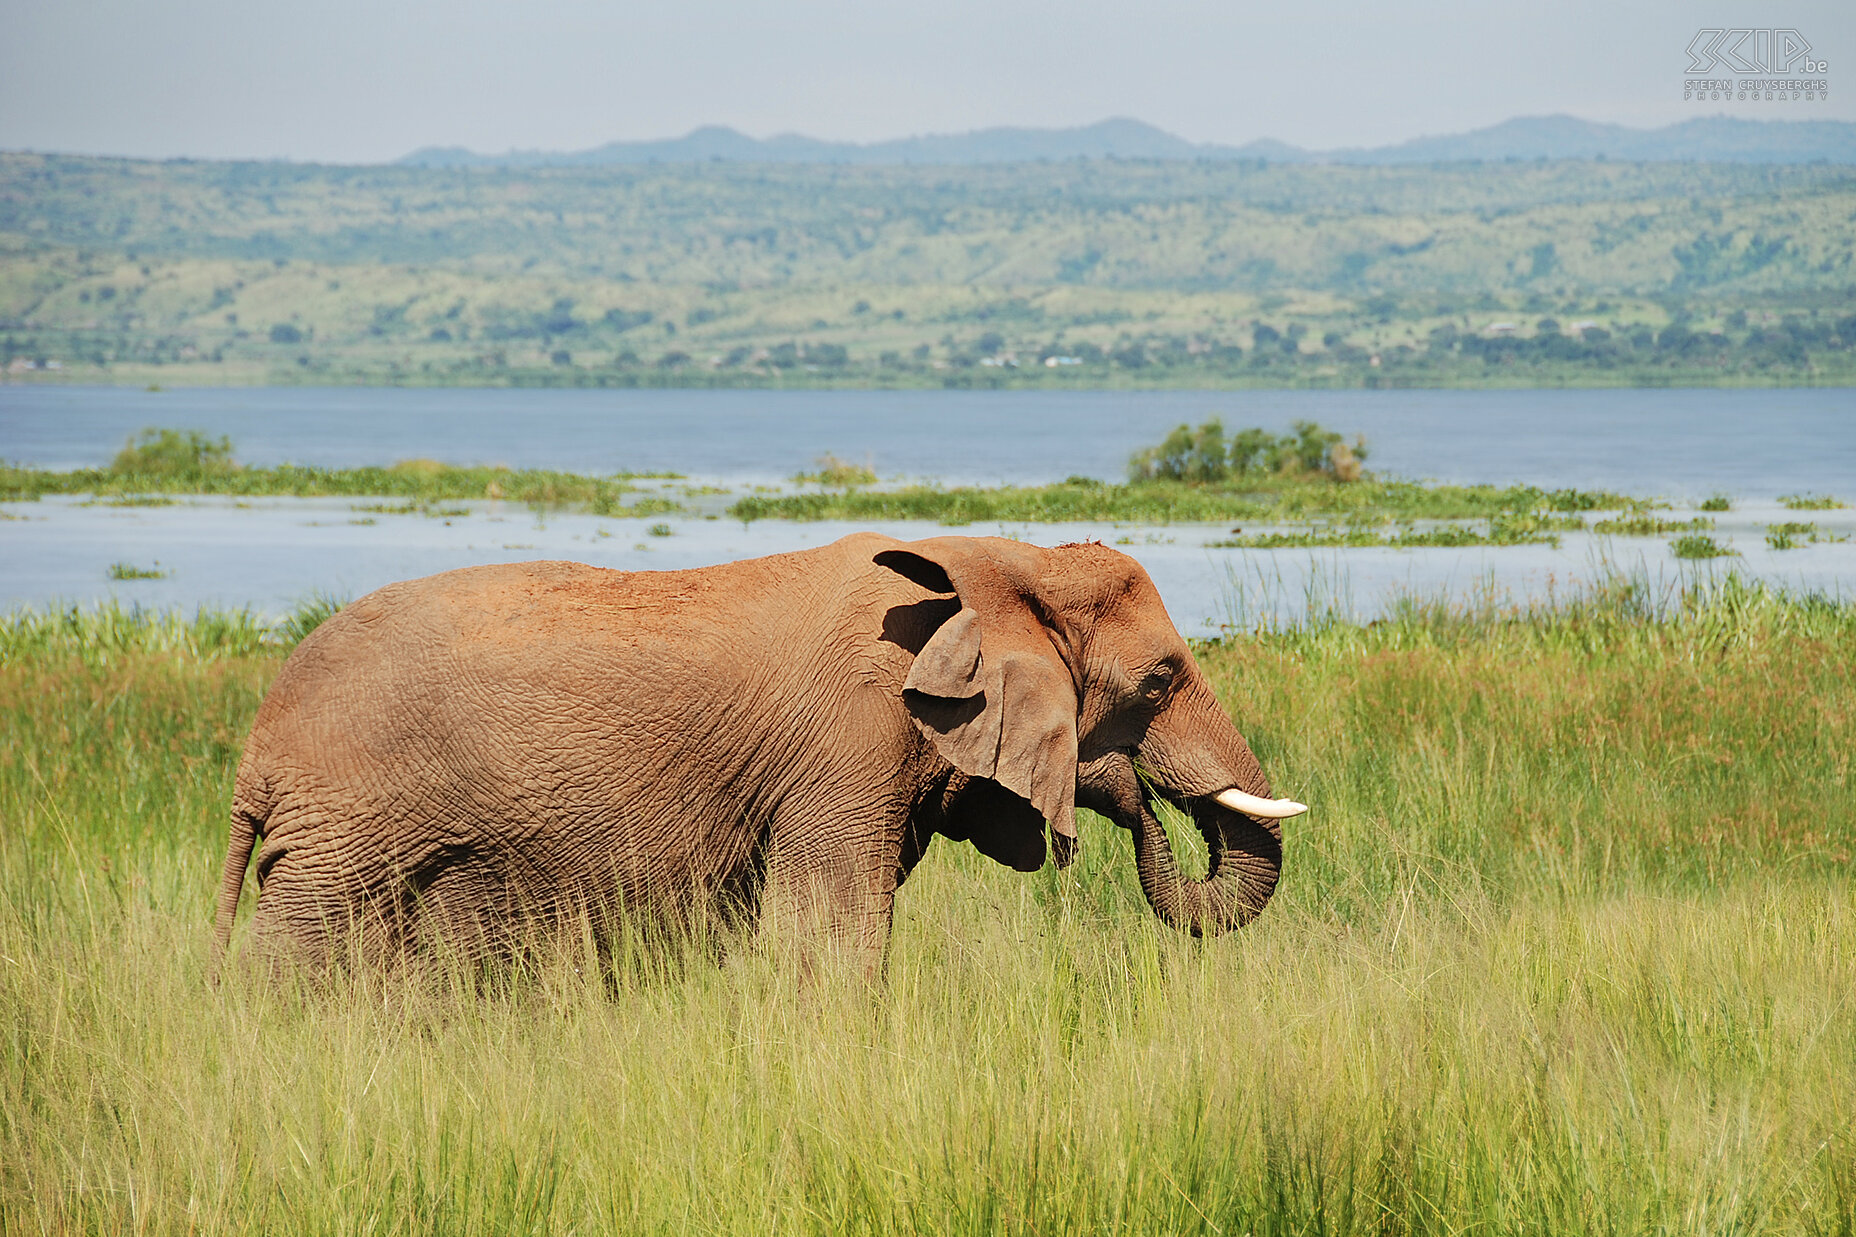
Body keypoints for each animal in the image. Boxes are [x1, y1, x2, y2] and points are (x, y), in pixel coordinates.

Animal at [217, 531, 1306, 973]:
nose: (1125, 790)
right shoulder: (851, 744)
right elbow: (833, 933)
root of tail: (255, 751)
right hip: (345, 829)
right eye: (1159, 679)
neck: (996, 560)